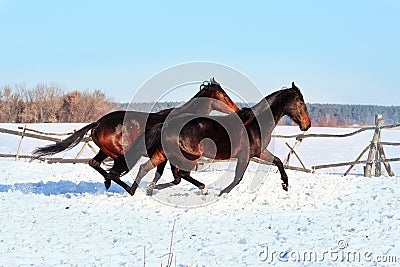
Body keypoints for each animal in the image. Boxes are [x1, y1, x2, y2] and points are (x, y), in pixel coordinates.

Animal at [32, 78, 238, 192]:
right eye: (224, 96)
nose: (236, 109)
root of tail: (99, 122)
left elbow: (167, 175)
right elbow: (173, 176)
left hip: (106, 151)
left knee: (96, 164)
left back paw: (109, 184)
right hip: (122, 154)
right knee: (113, 172)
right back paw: (126, 188)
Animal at [108, 81, 310, 197]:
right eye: (300, 102)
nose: (307, 125)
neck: (256, 123)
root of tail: (167, 124)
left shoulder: (259, 152)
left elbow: (278, 162)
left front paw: (285, 185)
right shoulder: (246, 155)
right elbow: (238, 177)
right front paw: (222, 192)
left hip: (164, 154)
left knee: (148, 169)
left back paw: (139, 190)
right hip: (189, 156)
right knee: (181, 175)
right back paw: (201, 188)